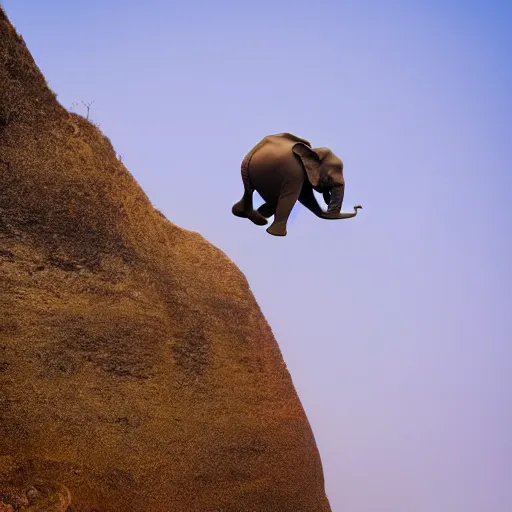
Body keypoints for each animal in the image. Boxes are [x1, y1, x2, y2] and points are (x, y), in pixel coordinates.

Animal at [232, 132, 360, 236]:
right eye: (328, 178)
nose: (359, 206)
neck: (313, 151)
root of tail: (254, 150)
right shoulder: (294, 171)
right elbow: (294, 197)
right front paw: (276, 234)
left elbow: (307, 197)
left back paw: (250, 213)